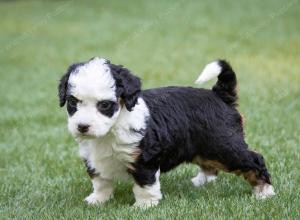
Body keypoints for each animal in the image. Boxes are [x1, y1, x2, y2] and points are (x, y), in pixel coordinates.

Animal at [57, 57, 276, 207]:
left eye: (104, 105)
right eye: (73, 102)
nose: (82, 127)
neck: (112, 128)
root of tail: (219, 95)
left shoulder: (144, 158)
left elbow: (145, 184)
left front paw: (144, 206)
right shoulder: (92, 157)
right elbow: (100, 181)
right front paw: (97, 200)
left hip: (225, 146)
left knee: (255, 160)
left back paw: (264, 191)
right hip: (206, 147)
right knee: (210, 164)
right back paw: (201, 181)